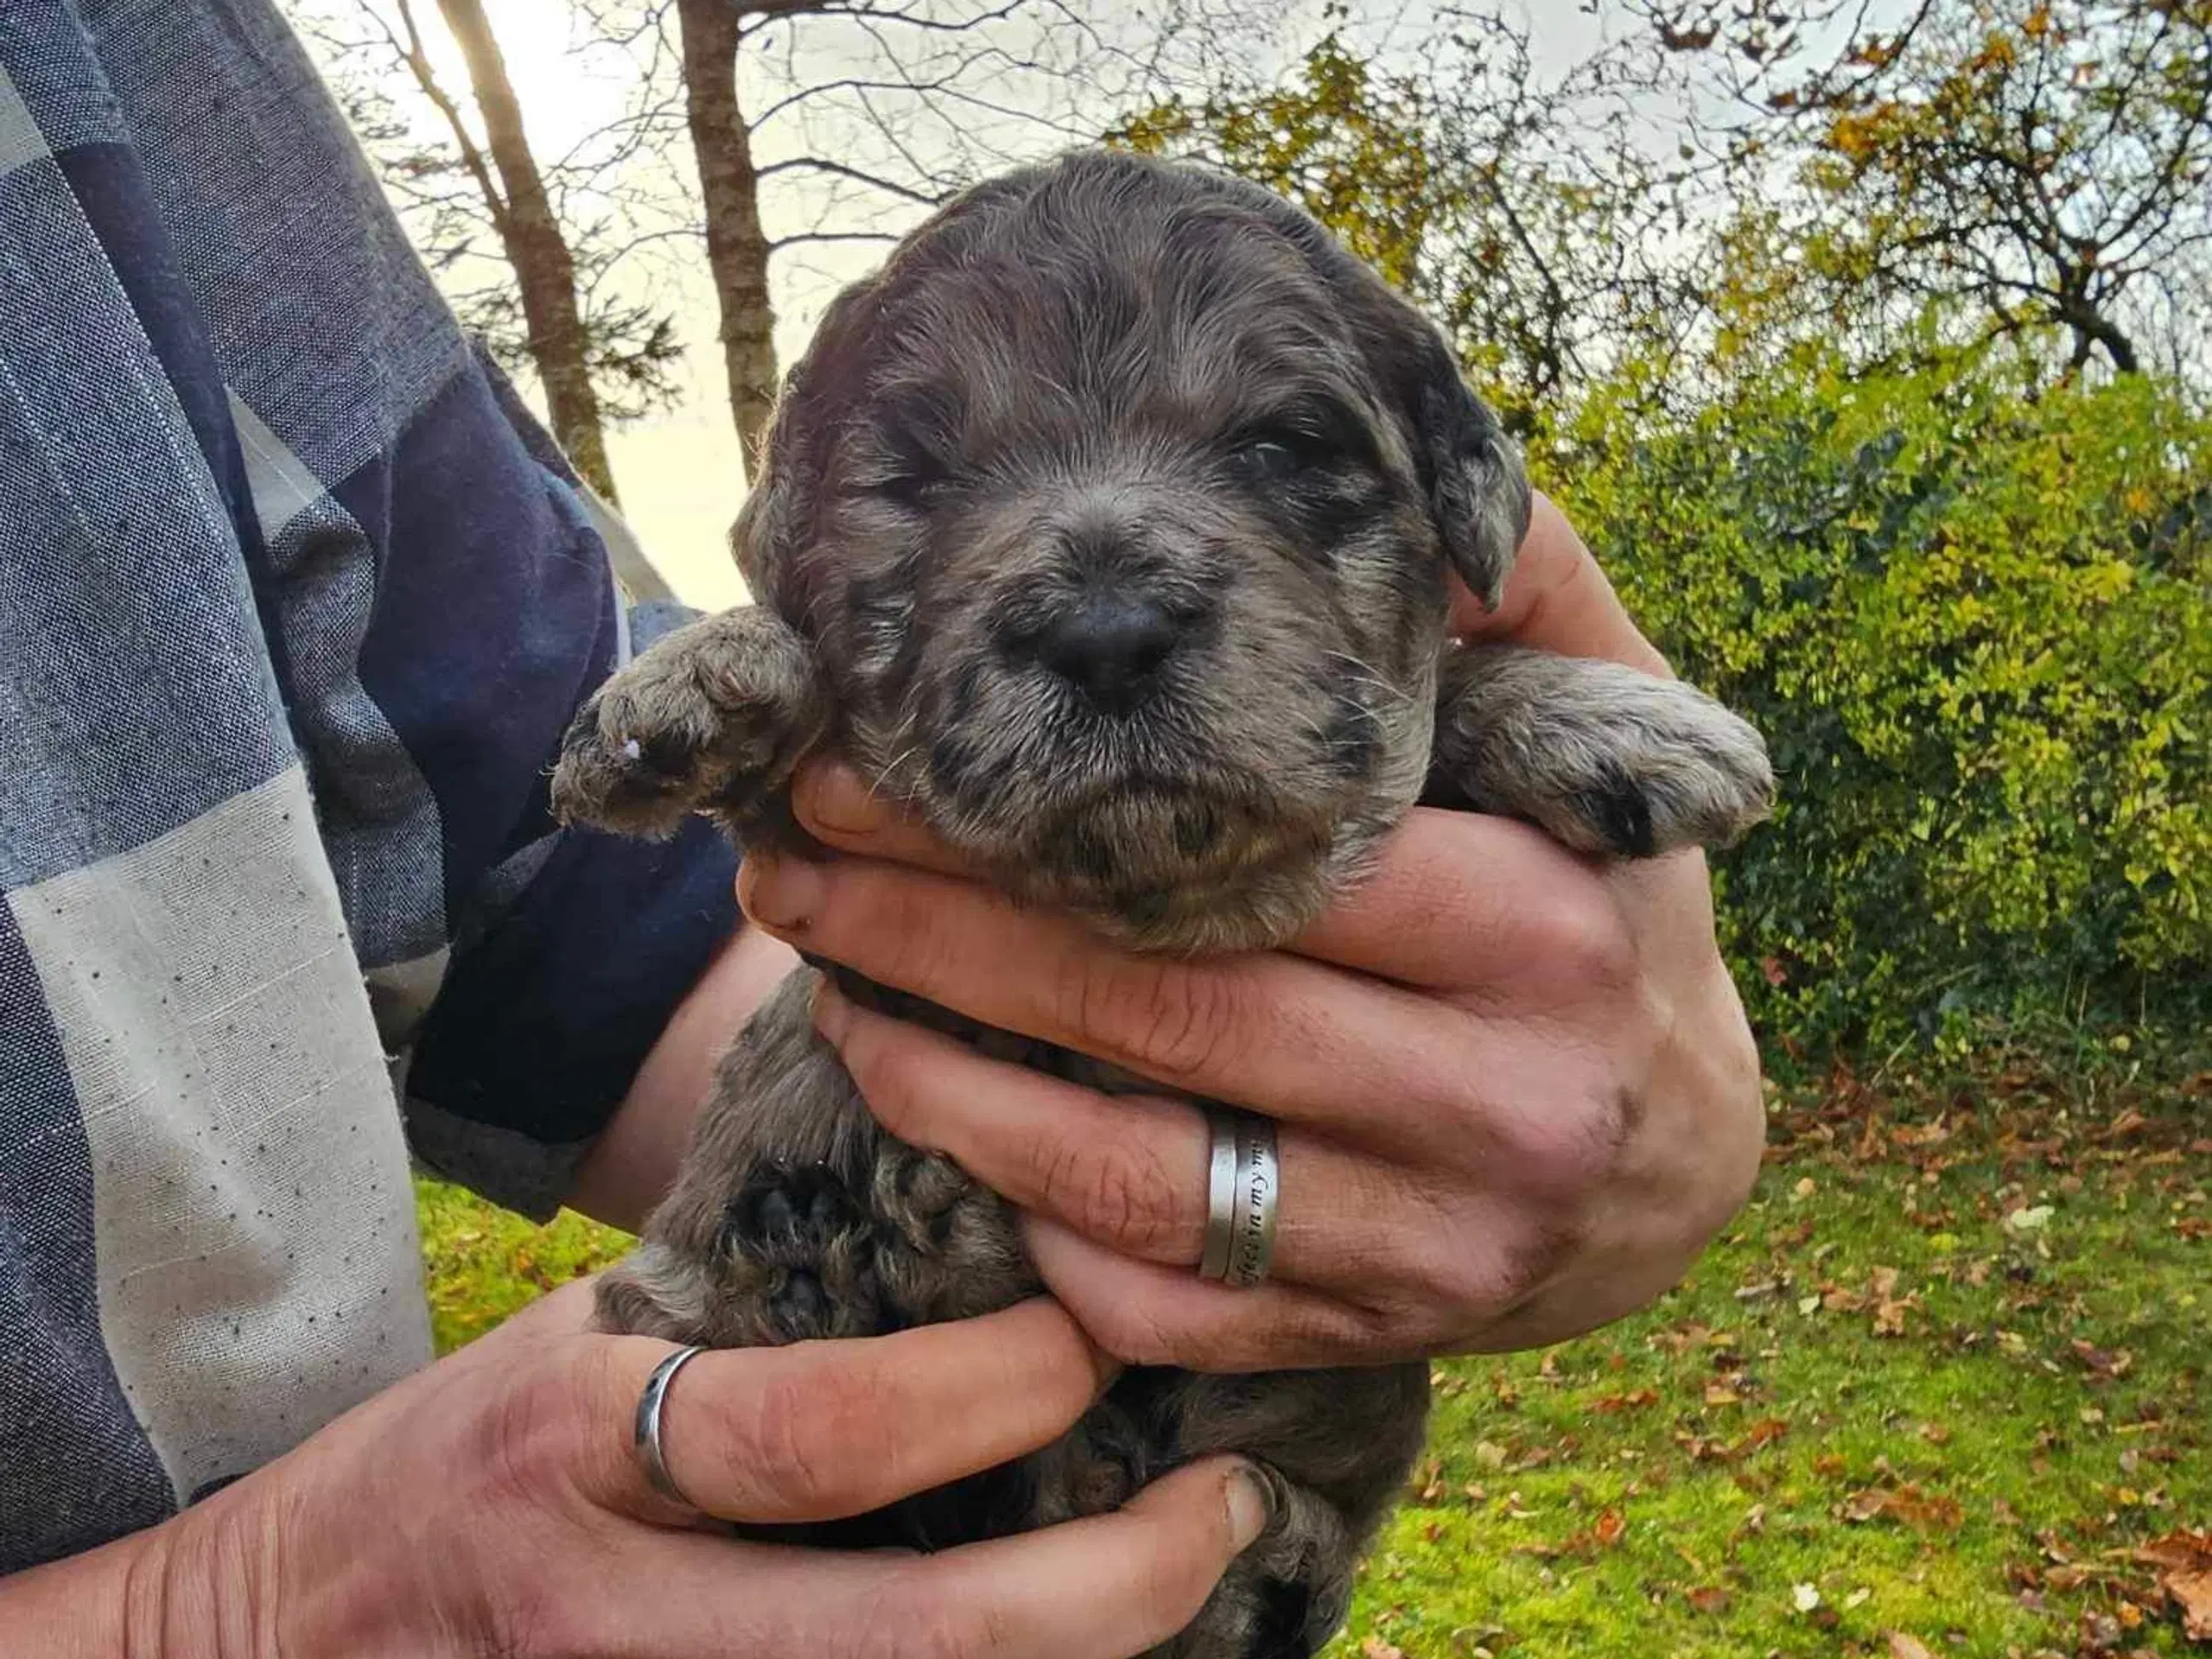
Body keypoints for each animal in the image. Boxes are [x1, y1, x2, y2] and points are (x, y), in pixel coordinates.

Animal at [557, 149, 1778, 1654]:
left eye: (1281, 448)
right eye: (923, 477)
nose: (1103, 634)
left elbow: (1433, 717)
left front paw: (1610, 720)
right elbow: (794, 753)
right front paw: (695, 684)